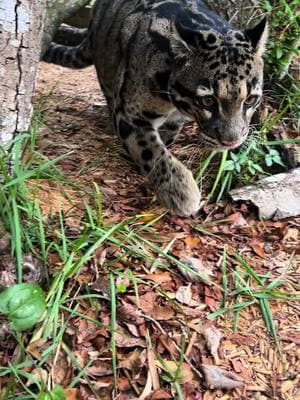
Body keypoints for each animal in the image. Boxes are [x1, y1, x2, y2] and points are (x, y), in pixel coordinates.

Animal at [41, 0, 268, 216]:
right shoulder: (130, 115)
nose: (232, 141)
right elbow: (152, 151)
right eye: (207, 101)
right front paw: (181, 193)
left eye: (250, 100)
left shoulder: (174, 122)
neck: (174, 102)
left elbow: (164, 144)